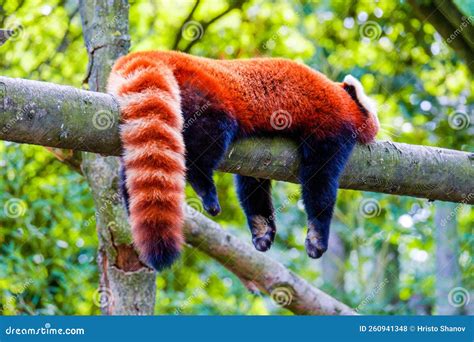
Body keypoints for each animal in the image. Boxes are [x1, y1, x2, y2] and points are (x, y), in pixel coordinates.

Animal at [106, 50, 378, 270]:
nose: (379, 127)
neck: (342, 98)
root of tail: (157, 53)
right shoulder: (331, 127)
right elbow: (319, 184)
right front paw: (317, 238)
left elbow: (252, 186)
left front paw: (262, 229)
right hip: (204, 97)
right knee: (204, 143)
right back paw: (205, 188)